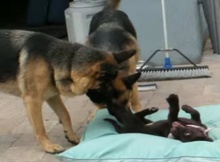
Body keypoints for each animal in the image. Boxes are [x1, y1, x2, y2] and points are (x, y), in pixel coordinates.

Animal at [0, 29, 137, 153]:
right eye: (108, 89)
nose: (129, 117)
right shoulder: (33, 101)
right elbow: (40, 127)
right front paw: (48, 146)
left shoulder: (52, 96)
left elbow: (65, 113)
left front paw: (70, 135)